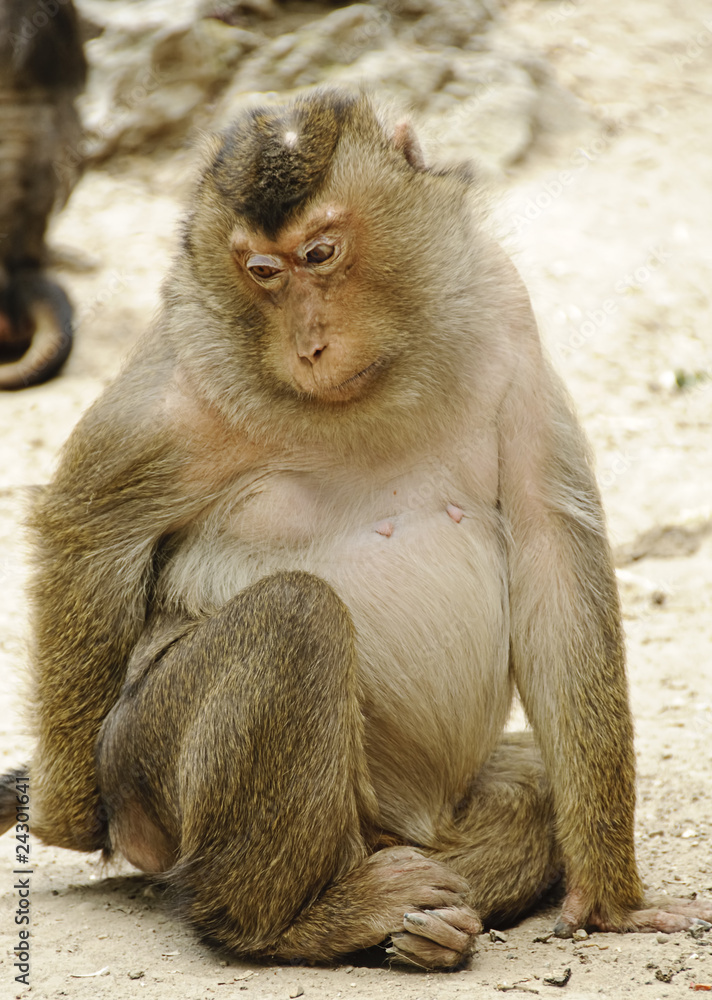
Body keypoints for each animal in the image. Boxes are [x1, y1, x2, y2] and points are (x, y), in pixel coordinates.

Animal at [3, 89, 711, 969]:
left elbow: (550, 546)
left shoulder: (503, 303)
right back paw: (299, 920)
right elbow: (88, 531)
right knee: (294, 618)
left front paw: (613, 899)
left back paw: (427, 919)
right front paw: (69, 817)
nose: (309, 345)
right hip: (145, 761)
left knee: (528, 787)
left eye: (321, 254)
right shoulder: (191, 364)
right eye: (262, 273)